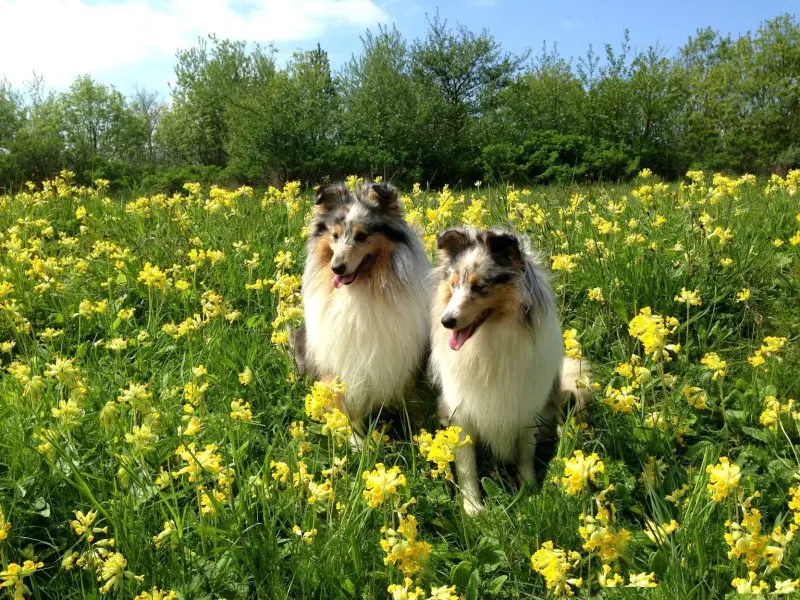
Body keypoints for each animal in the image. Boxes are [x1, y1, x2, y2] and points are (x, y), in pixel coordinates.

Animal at [296, 180, 432, 438]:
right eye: (335, 235)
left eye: (361, 236)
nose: (337, 268)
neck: (361, 290)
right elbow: (348, 410)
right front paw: (357, 441)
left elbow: (413, 401)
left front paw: (419, 435)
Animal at [432, 227, 588, 512]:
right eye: (454, 284)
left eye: (479, 287)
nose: (446, 321)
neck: (490, 340)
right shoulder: (460, 411)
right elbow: (467, 465)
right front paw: (473, 509)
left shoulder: (526, 407)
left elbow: (525, 454)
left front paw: (530, 492)